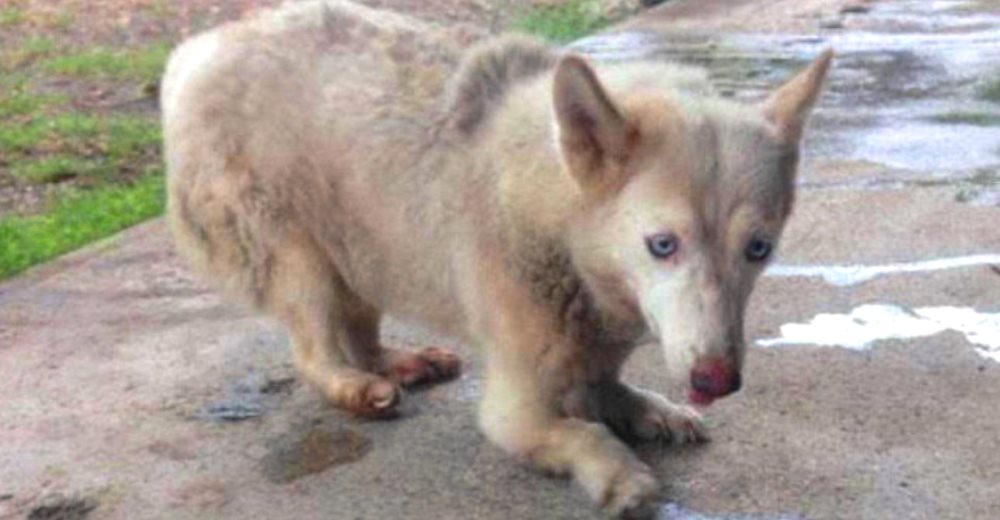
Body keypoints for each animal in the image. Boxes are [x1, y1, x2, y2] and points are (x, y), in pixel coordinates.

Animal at [162, 1, 828, 516]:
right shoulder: (514, 413)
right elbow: (584, 433)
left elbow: (611, 393)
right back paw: (356, 388)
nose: (717, 381)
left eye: (759, 249)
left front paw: (655, 411)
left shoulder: (594, 355)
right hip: (302, 263)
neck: (560, 229)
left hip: (368, 246)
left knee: (360, 330)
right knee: (315, 353)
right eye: (662, 245)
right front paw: (621, 475)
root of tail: (200, 48)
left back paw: (399, 363)